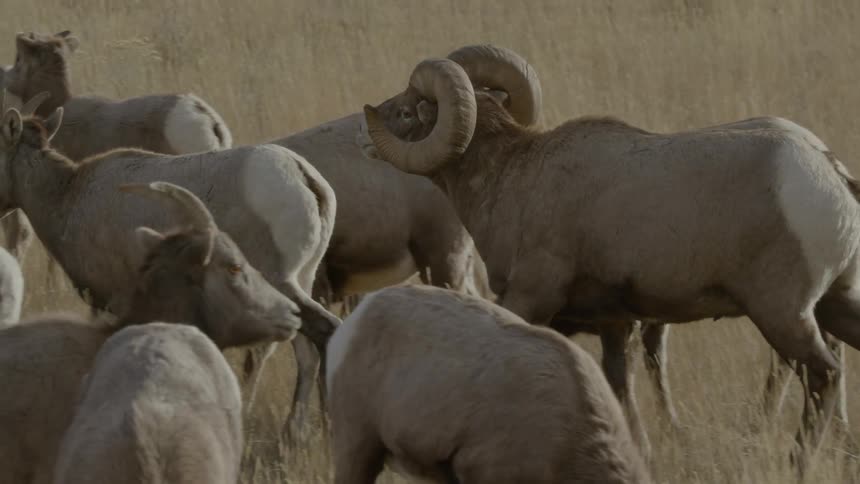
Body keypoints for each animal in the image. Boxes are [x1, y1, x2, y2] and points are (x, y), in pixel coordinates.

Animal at [0, 94, 339, 441]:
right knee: (306, 351)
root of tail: (305, 180)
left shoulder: (109, 300)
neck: (70, 195)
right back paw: (294, 435)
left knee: (323, 331)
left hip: (282, 282)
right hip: (301, 281)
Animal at [363, 55, 860, 463]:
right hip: (832, 305)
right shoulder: (615, 324)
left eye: (407, 110)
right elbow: (621, 389)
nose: (367, 122)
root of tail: (832, 175)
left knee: (825, 377)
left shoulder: (530, 298)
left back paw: (795, 463)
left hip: (782, 315)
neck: (511, 177)